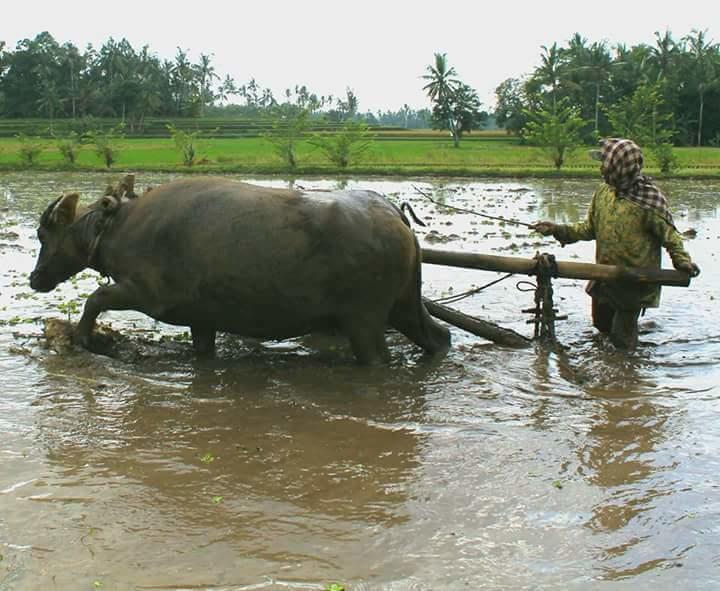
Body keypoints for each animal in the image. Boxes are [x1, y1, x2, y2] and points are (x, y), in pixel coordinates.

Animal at [33, 176, 452, 364]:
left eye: (42, 233)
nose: (35, 279)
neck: (116, 227)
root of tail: (395, 215)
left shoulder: (143, 292)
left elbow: (95, 298)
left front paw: (83, 338)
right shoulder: (201, 318)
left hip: (365, 320)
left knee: (379, 357)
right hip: (404, 305)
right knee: (439, 336)